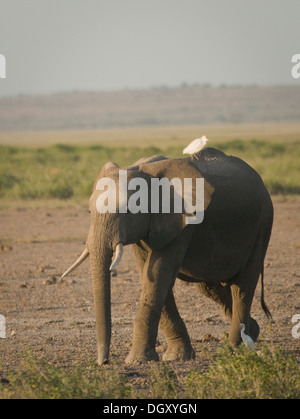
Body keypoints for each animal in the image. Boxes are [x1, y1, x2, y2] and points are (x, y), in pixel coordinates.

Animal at [62, 148, 274, 364]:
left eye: (128, 211)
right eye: (89, 211)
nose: (104, 362)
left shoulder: (182, 220)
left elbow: (159, 274)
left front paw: (137, 360)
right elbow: (148, 274)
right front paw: (176, 356)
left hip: (263, 224)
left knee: (243, 285)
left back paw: (234, 348)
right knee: (209, 287)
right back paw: (252, 331)